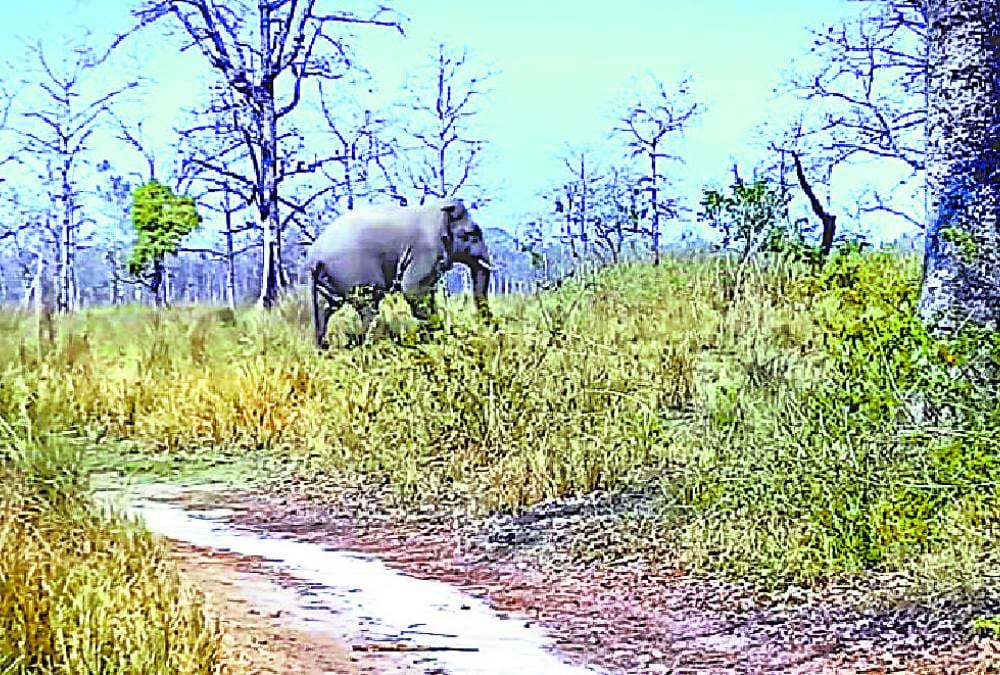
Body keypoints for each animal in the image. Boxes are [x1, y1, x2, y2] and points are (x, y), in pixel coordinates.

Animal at [305, 199, 493, 349]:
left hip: (327, 279)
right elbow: (414, 291)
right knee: (368, 307)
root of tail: (314, 256)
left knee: (326, 308)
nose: (488, 331)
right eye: (472, 234)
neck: (437, 209)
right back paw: (369, 346)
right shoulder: (423, 252)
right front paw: (438, 337)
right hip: (351, 270)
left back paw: (325, 349)